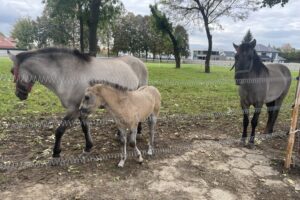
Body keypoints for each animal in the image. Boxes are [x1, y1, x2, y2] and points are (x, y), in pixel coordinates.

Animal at [7, 47, 148, 157]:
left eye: (12, 71)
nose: (19, 94)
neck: (67, 73)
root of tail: (138, 61)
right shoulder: (81, 110)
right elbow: (85, 128)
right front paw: (88, 147)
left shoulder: (73, 110)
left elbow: (60, 130)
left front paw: (56, 152)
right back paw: (120, 134)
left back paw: (138, 132)